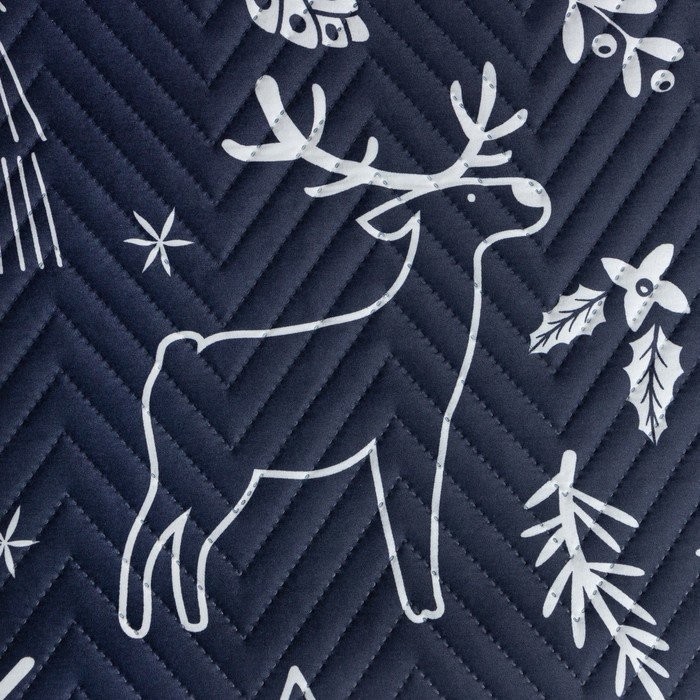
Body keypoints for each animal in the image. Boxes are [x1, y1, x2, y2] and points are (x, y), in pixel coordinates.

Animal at [119, 62, 552, 639]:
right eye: (471, 197)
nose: (535, 191)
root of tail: (173, 353)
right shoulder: (411, 434)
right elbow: (416, 521)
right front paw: (426, 607)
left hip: (180, 470)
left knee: (167, 531)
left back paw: (169, 618)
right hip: (211, 471)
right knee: (173, 535)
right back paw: (167, 620)